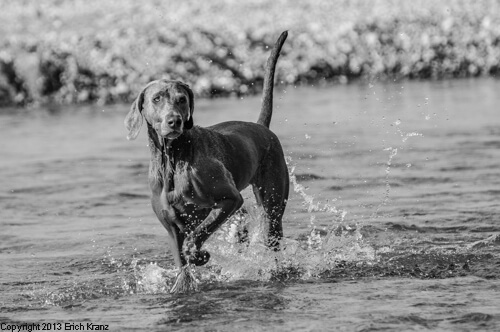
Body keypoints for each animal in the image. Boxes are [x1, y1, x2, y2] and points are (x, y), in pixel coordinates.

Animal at [124, 30, 290, 290]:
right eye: (157, 99)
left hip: (272, 204)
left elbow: (196, 237)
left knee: (271, 236)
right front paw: (184, 280)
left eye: (182, 99)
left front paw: (199, 255)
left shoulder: (230, 200)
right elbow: (182, 260)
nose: (174, 121)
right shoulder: (171, 225)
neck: (173, 159)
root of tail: (262, 127)